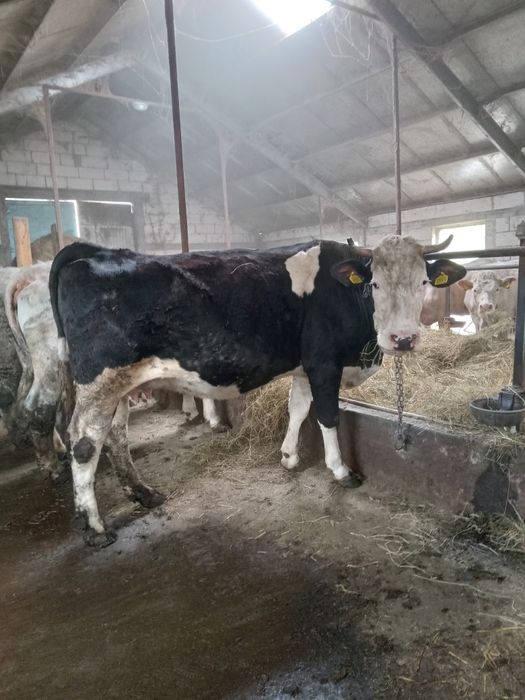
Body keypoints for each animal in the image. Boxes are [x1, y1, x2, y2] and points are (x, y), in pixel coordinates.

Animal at [49, 235, 465, 547]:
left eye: (423, 282)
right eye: (375, 284)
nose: (403, 339)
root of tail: (94, 252)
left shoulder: (305, 366)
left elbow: (298, 408)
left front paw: (288, 457)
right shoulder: (324, 362)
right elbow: (328, 415)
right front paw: (341, 471)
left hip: (119, 383)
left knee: (115, 434)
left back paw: (143, 492)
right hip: (101, 380)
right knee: (84, 441)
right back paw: (95, 527)